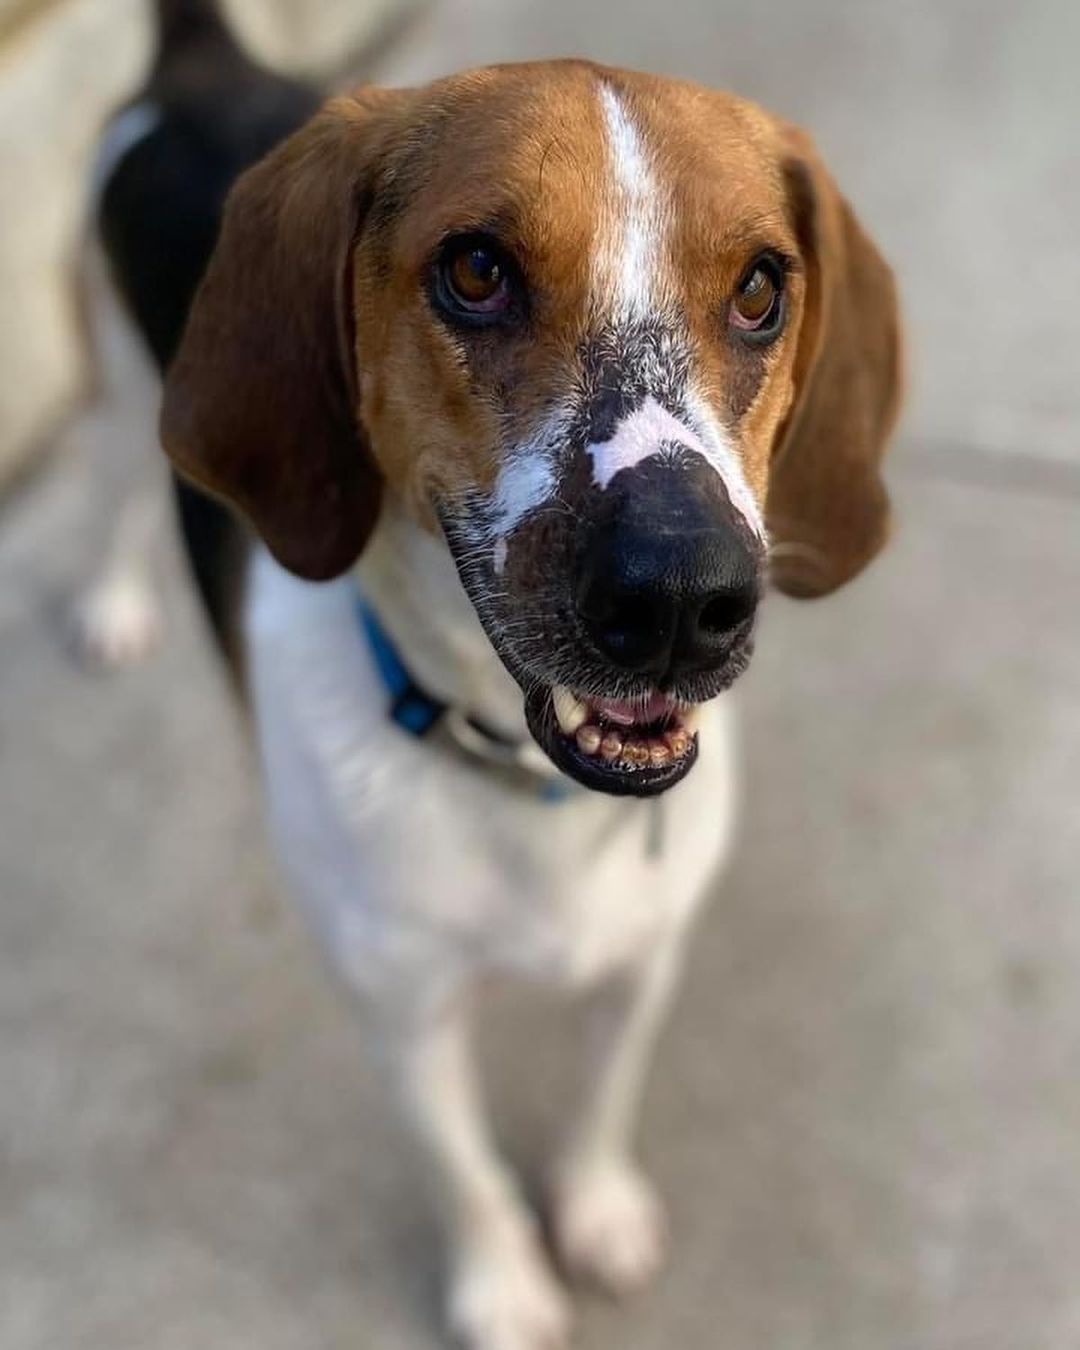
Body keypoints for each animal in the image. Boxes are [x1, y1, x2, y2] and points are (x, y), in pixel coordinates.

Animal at [103, 7, 901, 1339]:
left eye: (759, 289)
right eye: (475, 272)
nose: (679, 596)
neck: (527, 789)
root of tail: (201, 61)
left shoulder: (645, 960)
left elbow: (601, 1103)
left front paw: (597, 1213)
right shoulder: (403, 1012)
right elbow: (462, 1168)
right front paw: (503, 1291)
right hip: (122, 396)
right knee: (110, 496)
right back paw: (112, 600)